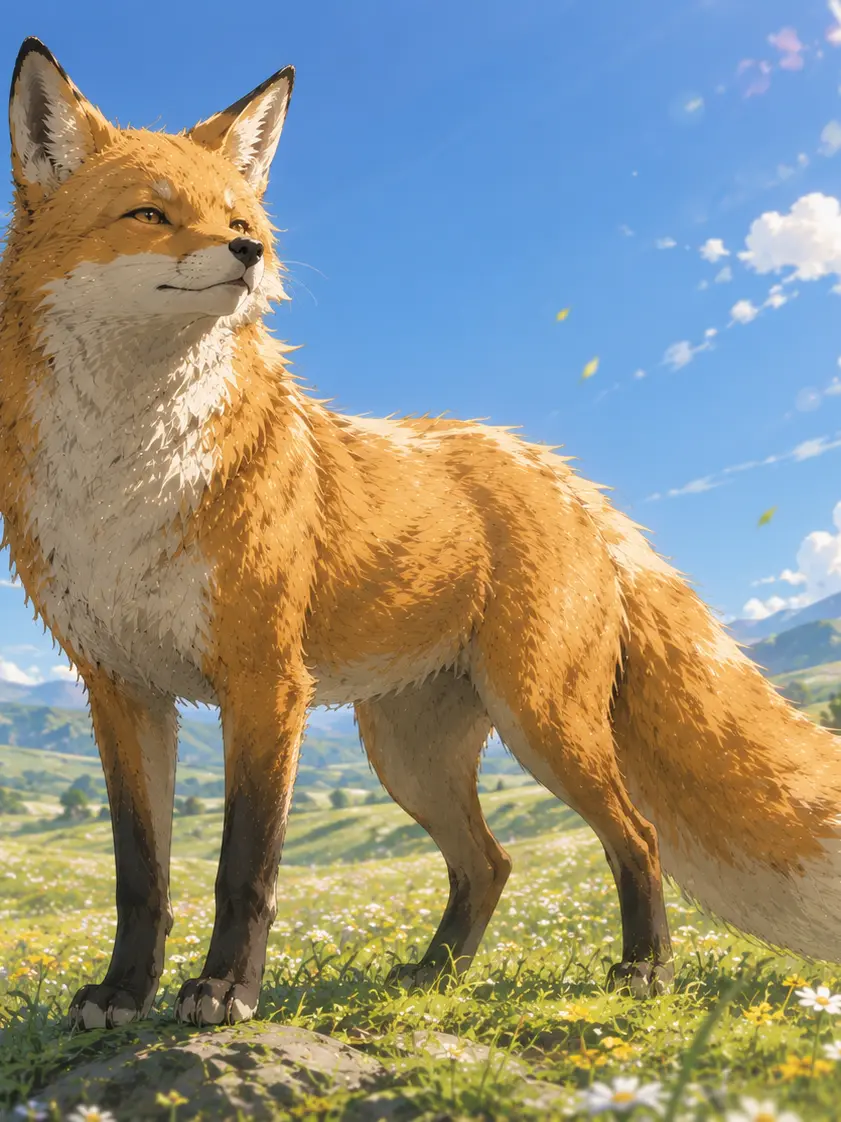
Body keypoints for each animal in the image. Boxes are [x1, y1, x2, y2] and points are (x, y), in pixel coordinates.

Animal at [2, 36, 841, 1034]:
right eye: (149, 214)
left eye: (239, 217)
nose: (250, 253)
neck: (126, 481)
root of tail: (546, 463)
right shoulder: (120, 691)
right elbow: (142, 876)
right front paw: (124, 995)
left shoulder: (264, 682)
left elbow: (246, 866)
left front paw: (224, 992)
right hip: (409, 756)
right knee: (490, 861)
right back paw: (433, 977)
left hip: (541, 722)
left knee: (634, 834)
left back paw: (642, 971)